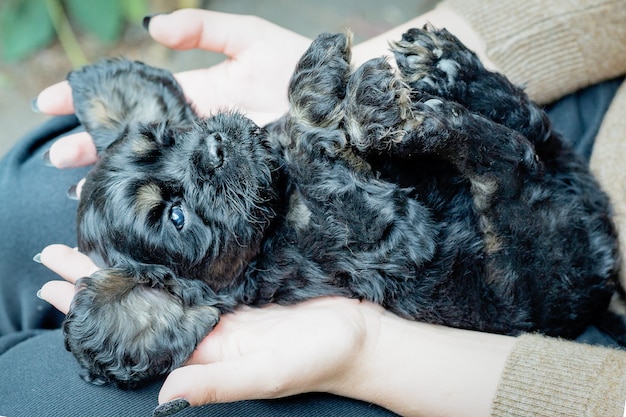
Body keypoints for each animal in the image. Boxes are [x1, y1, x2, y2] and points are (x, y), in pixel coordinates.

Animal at [63, 27, 620, 388]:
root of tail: (606, 264)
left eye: (169, 136)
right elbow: (320, 157)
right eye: (174, 217)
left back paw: (445, 64)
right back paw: (409, 107)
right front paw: (317, 93)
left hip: (555, 165)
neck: (279, 204)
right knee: (507, 157)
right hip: (527, 253)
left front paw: (322, 78)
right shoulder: (388, 237)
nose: (213, 148)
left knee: (526, 121)